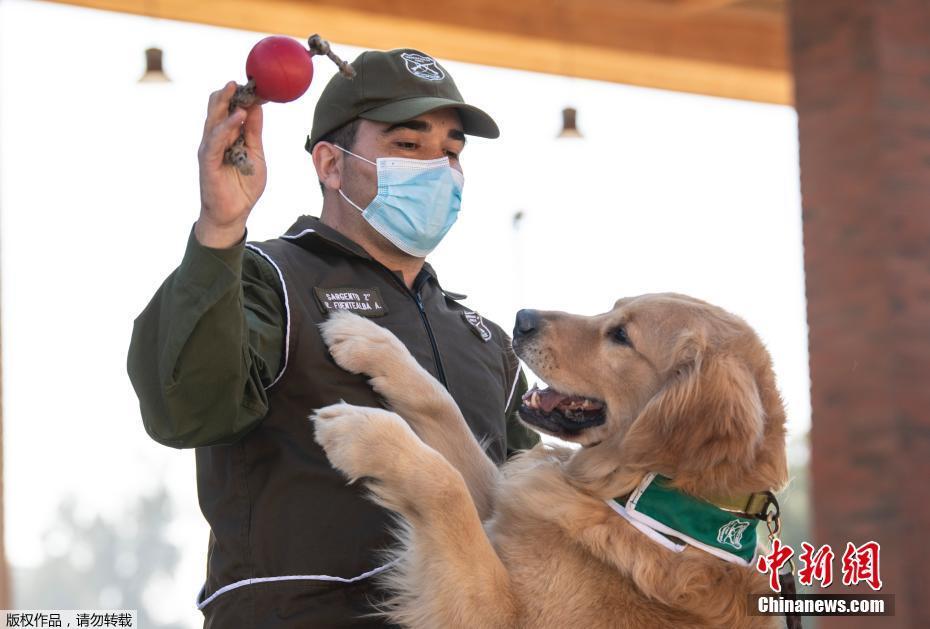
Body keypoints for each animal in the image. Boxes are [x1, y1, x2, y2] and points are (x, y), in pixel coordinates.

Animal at [310, 294, 784, 628]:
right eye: (613, 308)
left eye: (621, 337)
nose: (522, 319)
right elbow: (442, 407)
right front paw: (372, 342)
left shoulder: (499, 616)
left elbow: (448, 488)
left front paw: (364, 433)